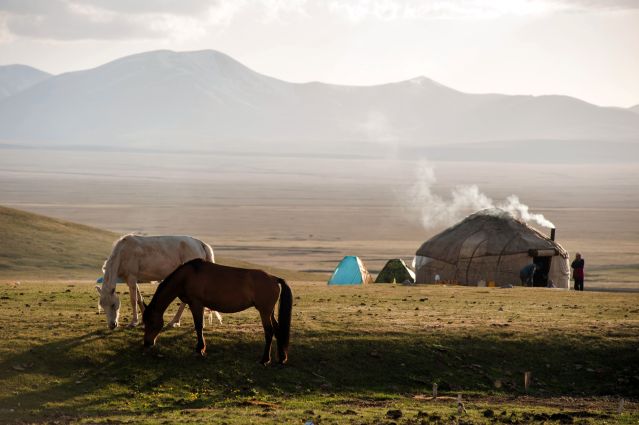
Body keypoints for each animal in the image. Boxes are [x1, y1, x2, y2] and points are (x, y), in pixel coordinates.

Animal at [142, 258, 292, 364]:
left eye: (151, 322)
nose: (147, 343)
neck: (187, 276)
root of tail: (274, 278)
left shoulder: (196, 304)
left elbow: (199, 326)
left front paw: (200, 349)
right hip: (269, 312)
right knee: (277, 330)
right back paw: (281, 358)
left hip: (264, 312)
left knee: (269, 332)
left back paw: (265, 359)